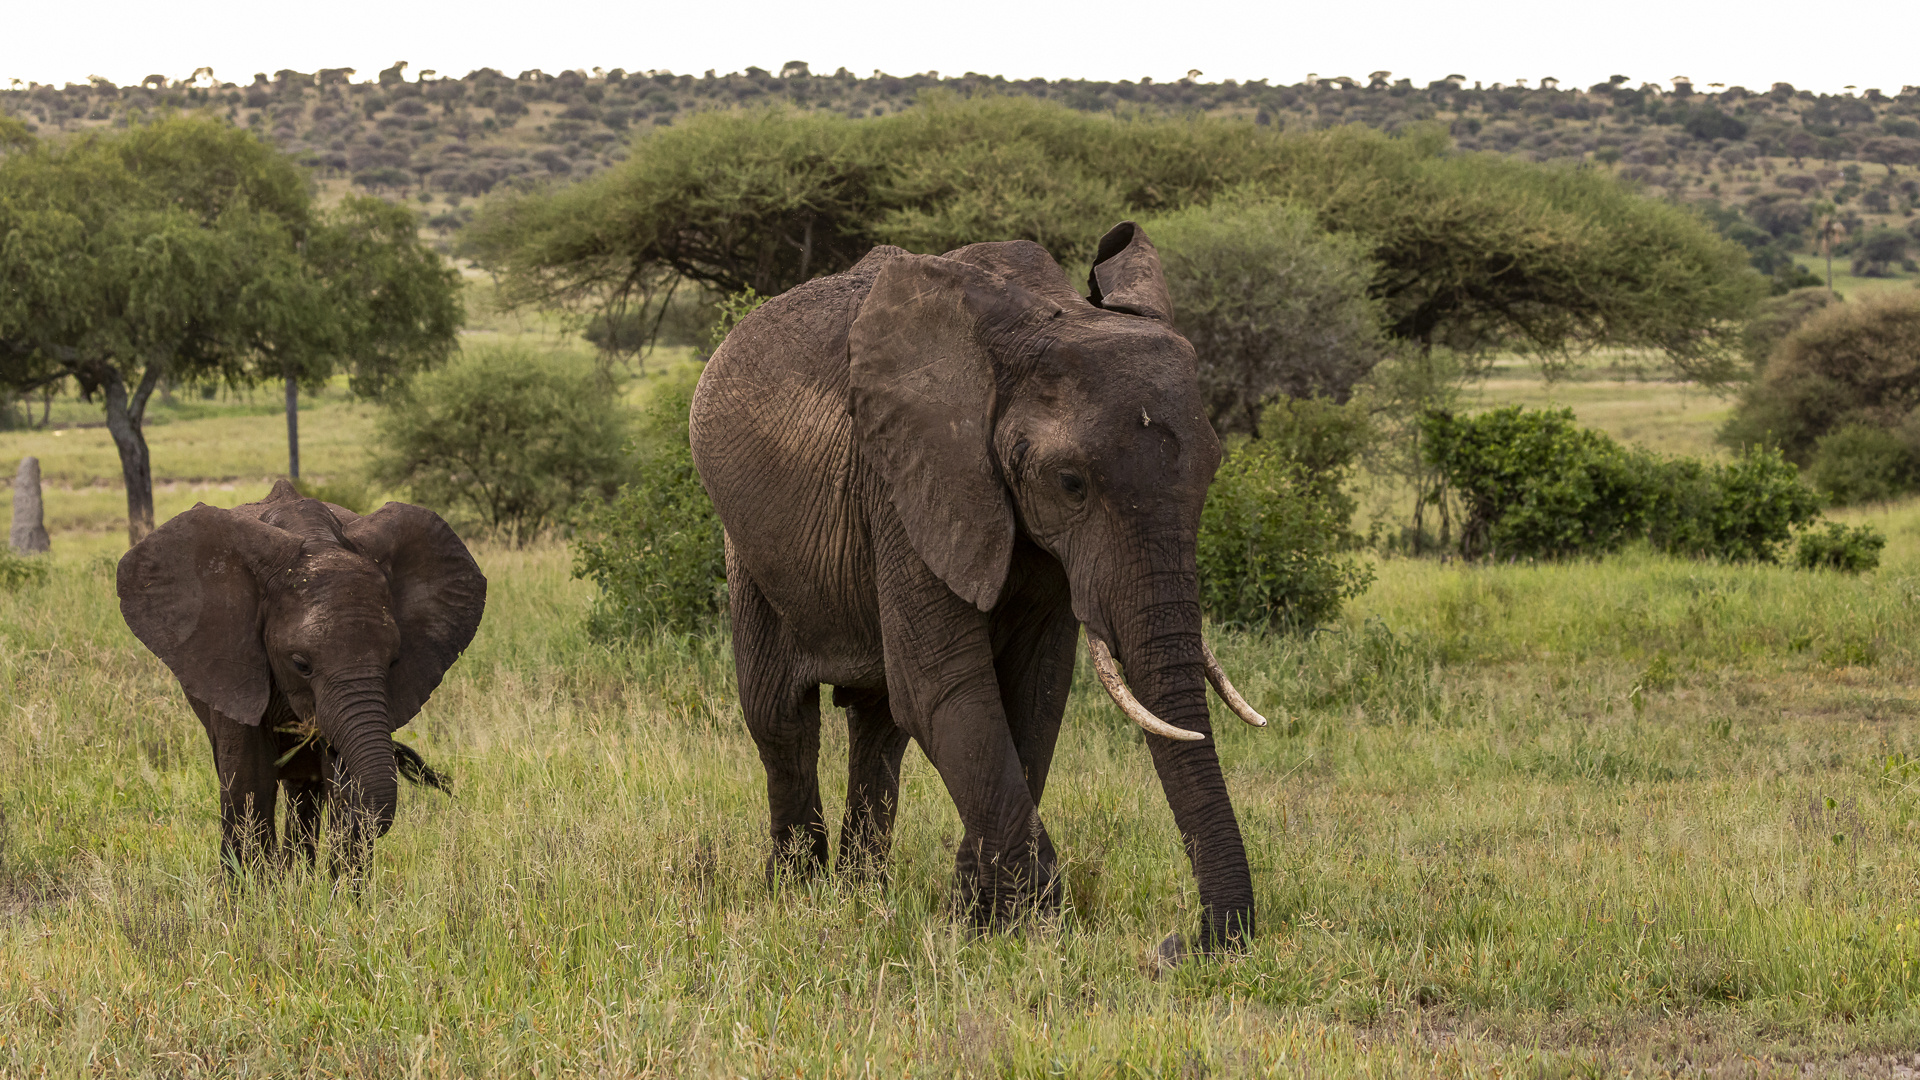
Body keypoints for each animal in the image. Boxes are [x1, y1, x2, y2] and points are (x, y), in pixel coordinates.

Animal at [117, 478, 487, 876]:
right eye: (300, 663)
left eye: (394, 661)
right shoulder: (233, 666)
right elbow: (249, 781)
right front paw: (253, 891)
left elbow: (333, 785)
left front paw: (340, 891)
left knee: (305, 789)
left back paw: (299, 876)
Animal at [695, 220, 1274, 949]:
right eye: (1071, 483)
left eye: (1214, 468)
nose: (1180, 946)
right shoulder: (908, 478)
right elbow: (948, 692)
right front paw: (1036, 933)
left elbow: (1034, 694)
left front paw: (974, 919)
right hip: (746, 547)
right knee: (781, 716)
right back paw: (798, 893)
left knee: (878, 725)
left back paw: (862, 892)